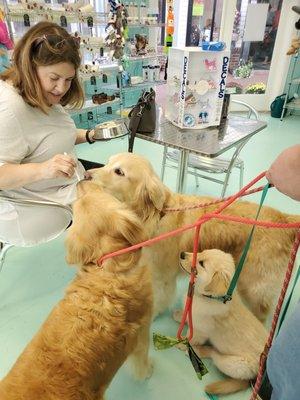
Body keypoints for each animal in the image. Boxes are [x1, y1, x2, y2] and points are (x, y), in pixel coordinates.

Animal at [0, 181, 154, 400]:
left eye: (81, 201)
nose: (82, 180)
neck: (107, 267)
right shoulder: (142, 331)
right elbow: (142, 362)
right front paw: (148, 371)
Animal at [88, 152, 298, 322]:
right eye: (107, 163)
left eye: (119, 172)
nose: (87, 175)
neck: (154, 216)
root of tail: (285, 219)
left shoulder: (162, 276)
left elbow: (159, 297)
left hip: (254, 286)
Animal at [173, 248, 268, 396]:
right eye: (201, 252)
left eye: (201, 263)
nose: (182, 254)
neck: (210, 297)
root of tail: (254, 377)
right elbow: (188, 316)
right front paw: (179, 315)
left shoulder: (200, 332)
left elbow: (190, 338)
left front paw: (183, 344)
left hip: (233, 364)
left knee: (214, 354)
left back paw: (198, 351)